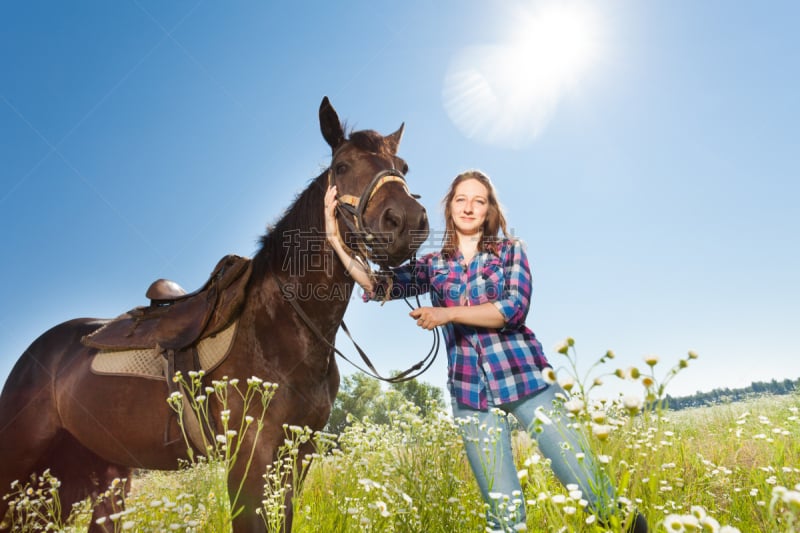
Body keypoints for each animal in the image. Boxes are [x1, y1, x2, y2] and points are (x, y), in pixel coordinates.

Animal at [0, 97, 432, 528]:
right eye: (342, 166)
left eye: (403, 167)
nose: (405, 221)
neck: (286, 324)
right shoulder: (250, 459)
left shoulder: (297, 454)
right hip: (20, 471)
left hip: (93, 477)